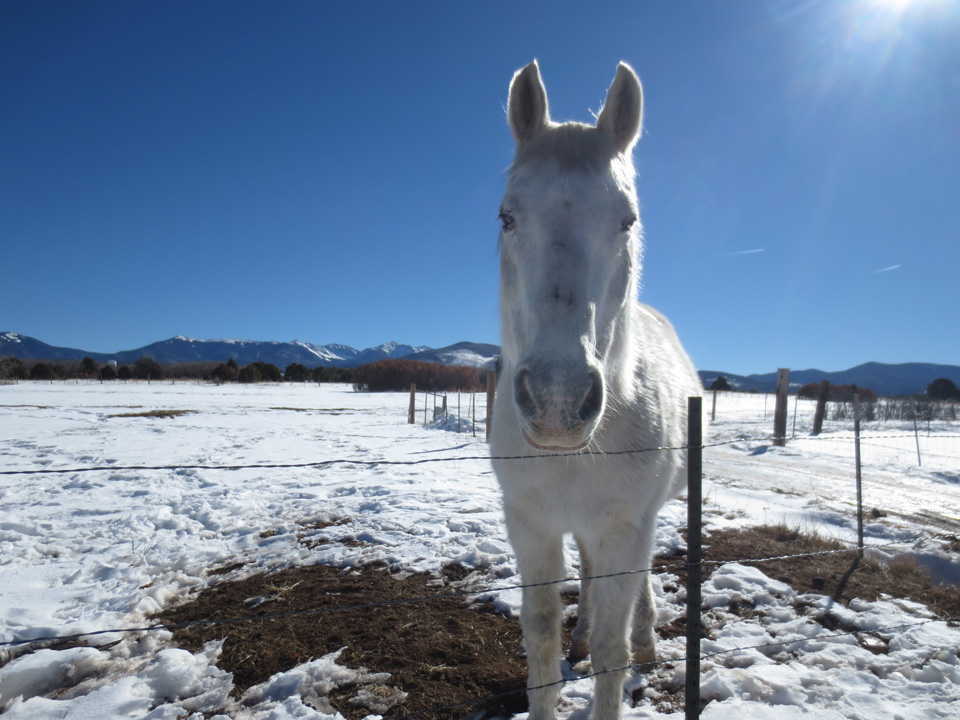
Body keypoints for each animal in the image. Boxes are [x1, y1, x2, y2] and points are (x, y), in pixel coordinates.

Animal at [490, 61, 703, 720]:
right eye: (506, 217)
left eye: (627, 220)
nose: (557, 401)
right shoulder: (530, 526)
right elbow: (539, 639)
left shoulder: (624, 529)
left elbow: (614, 651)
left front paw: (625, 649)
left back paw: (650, 638)